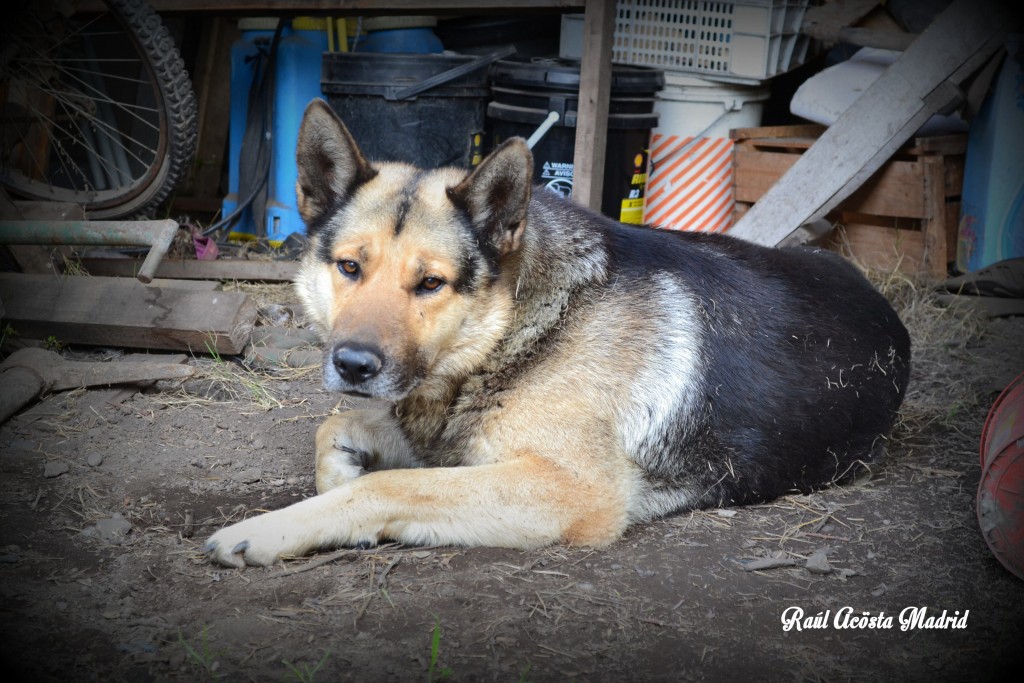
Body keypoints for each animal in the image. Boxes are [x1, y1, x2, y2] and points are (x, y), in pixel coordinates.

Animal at [203, 98, 909, 569]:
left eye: (430, 283)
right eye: (350, 268)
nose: (352, 365)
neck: (523, 328)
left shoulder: (568, 487)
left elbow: (388, 485)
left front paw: (274, 528)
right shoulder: (448, 439)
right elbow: (337, 433)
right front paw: (337, 479)